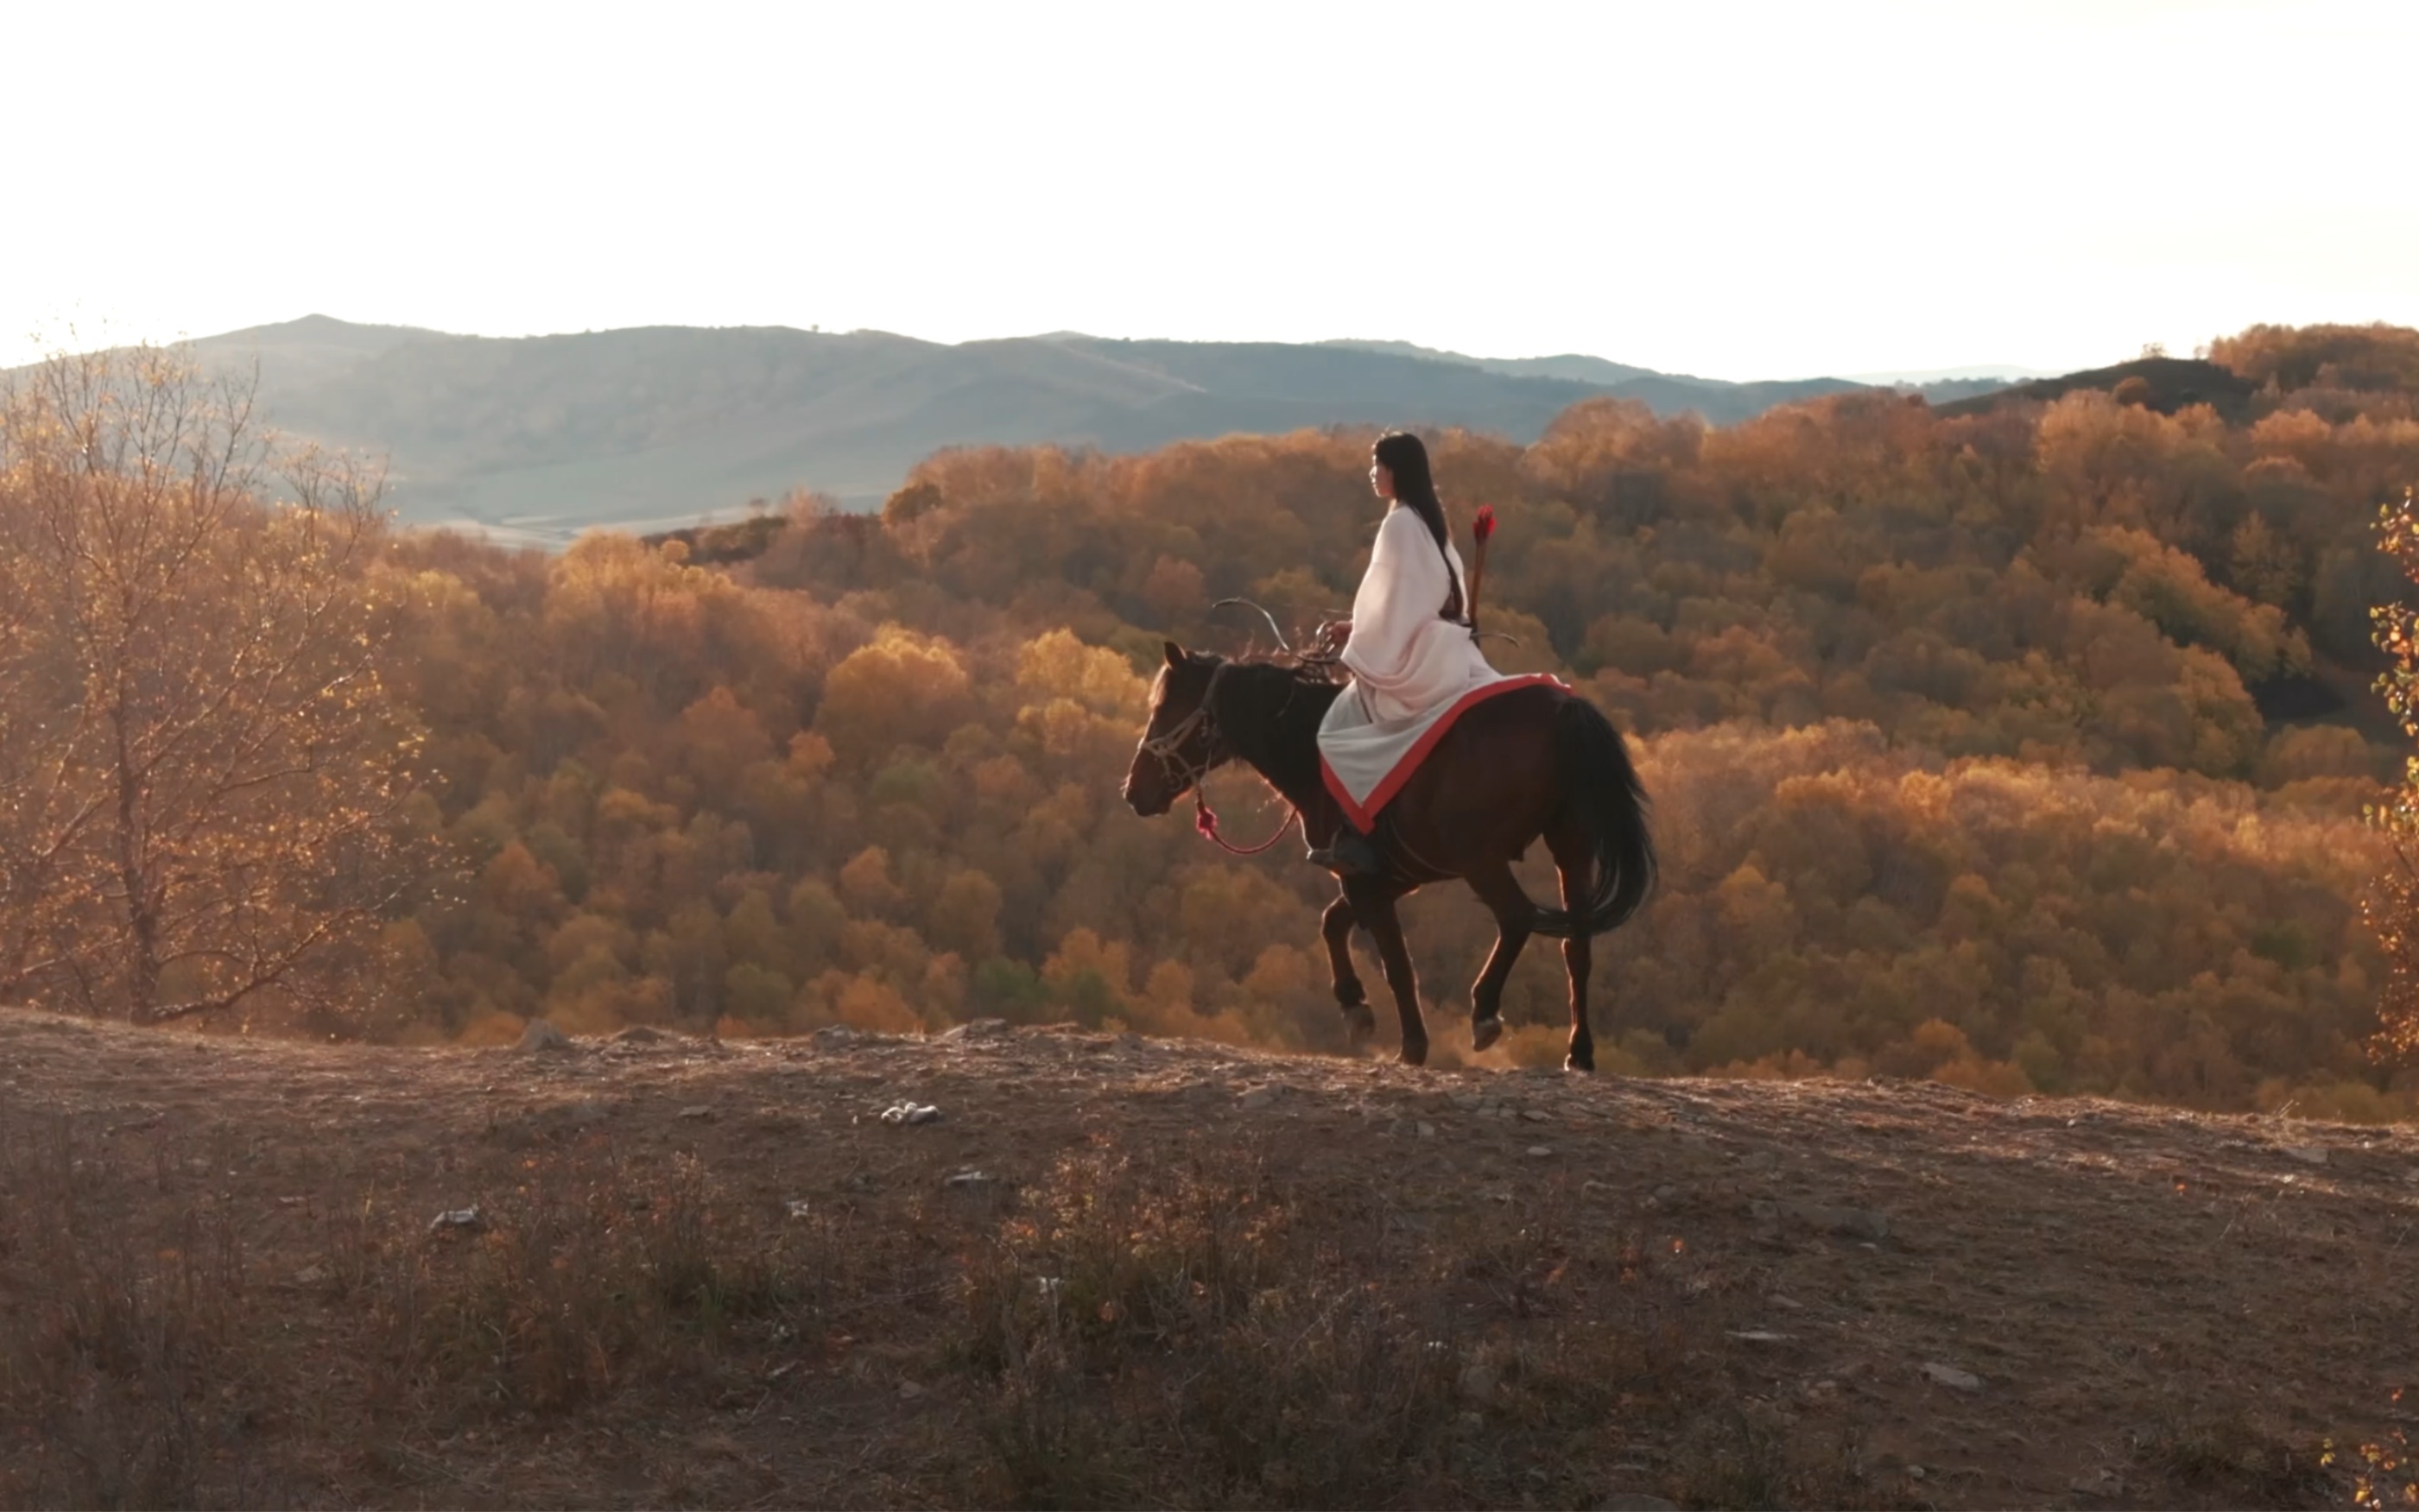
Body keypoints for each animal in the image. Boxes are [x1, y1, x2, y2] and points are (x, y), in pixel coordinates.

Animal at [1118, 643, 1654, 1069]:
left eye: (1166, 707)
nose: (1134, 791)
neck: (1310, 744)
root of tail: (1564, 711)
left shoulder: (1366, 881)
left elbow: (1396, 961)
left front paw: (1412, 1045)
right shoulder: (1388, 878)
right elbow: (1334, 924)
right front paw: (1355, 1007)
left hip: (1482, 859)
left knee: (1518, 917)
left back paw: (1484, 1011)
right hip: (1572, 848)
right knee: (1577, 945)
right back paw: (1579, 1052)